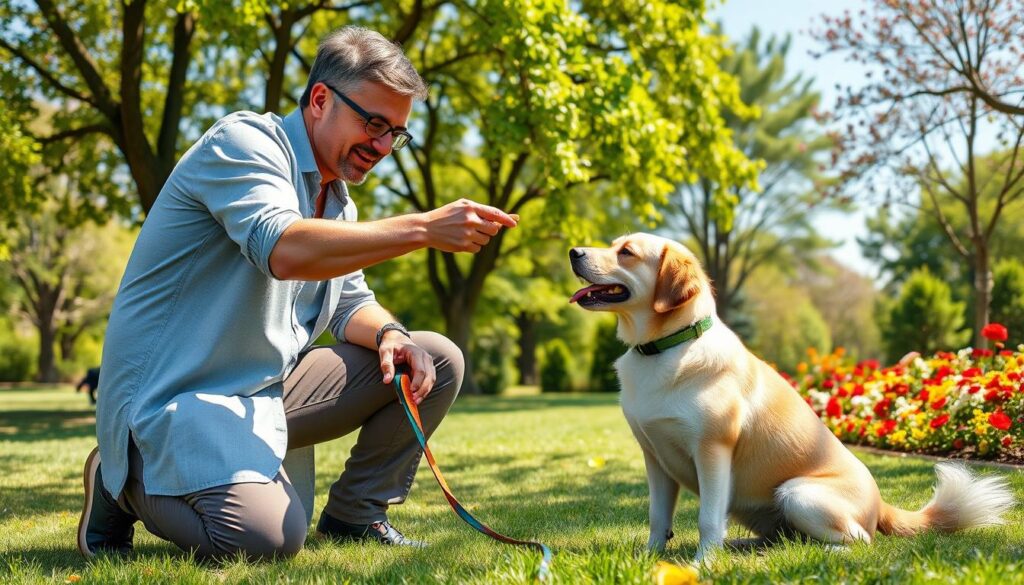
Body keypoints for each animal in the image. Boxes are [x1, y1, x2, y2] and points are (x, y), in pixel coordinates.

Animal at [573, 231, 1011, 561]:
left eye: (626, 252)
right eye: (613, 244)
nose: (574, 252)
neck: (666, 347)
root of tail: (879, 504)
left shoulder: (713, 451)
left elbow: (707, 519)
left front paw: (702, 564)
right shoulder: (655, 457)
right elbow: (657, 518)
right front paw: (649, 558)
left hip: (797, 493)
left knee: (859, 540)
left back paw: (821, 552)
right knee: (783, 537)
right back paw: (745, 546)